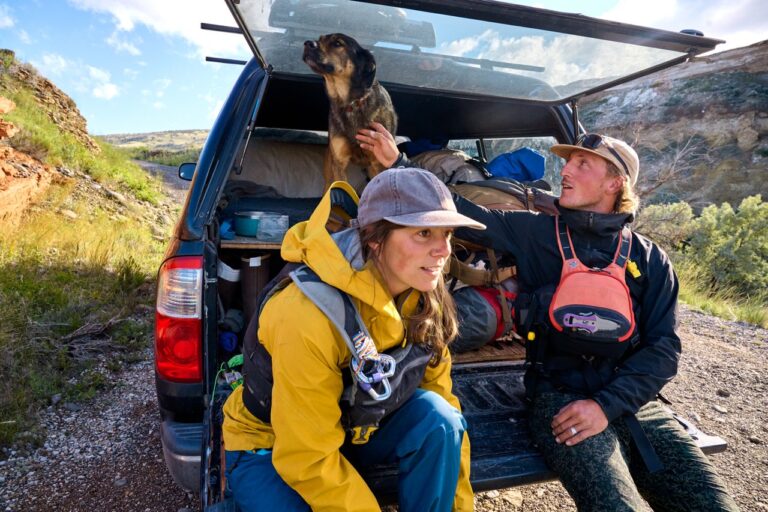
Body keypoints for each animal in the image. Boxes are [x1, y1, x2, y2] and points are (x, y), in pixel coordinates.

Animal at [302, 33, 396, 190]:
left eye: (337, 43)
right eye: (320, 39)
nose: (307, 43)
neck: (352, 103)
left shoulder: (378, 162)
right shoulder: (338, 162)